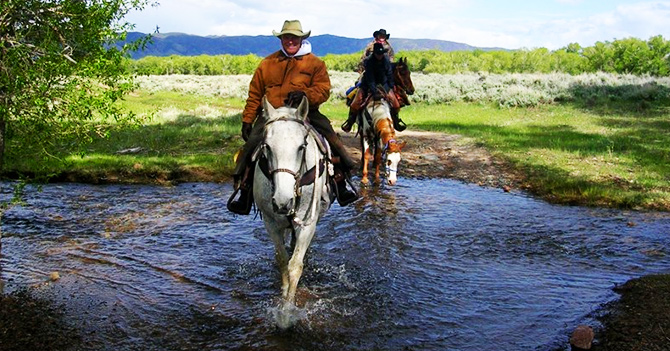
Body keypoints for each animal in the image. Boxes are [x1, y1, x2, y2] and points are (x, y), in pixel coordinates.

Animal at [252, 96, 334, 330]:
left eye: (301, 147)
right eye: (267, 147)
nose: (282, 201)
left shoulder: (307, 224)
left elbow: (295, 265)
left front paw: (287, 313)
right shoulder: (271, 223)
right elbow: (282, 261)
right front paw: (282, 300)